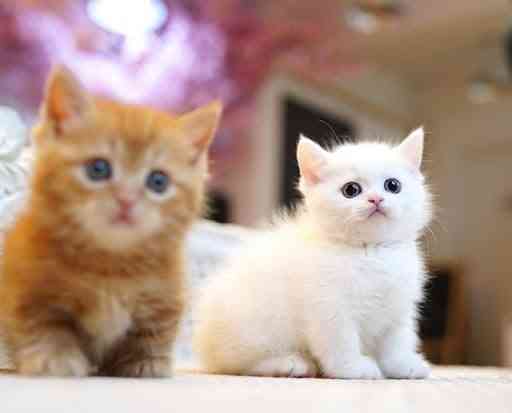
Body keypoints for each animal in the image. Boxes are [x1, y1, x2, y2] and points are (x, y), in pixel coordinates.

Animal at [0, 65, 223, 376]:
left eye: (158, 181)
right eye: (98, 168)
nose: (126, 200)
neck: (112, 267)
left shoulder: (166, 295)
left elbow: (153, 332)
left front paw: (146, 365)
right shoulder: (28, 286)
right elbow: (44, 324)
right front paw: (55, 358)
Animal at [192, 127, 432, 378]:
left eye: (393, 185)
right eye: (351, 190)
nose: (376, 199)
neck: (370, 251)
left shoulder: (398, 306)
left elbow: (397, 340)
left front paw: (402, 366)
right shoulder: (328, 306)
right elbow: (341, 341)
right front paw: (354, 368)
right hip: (253, 323)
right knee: (238, 365)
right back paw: (290, 363)